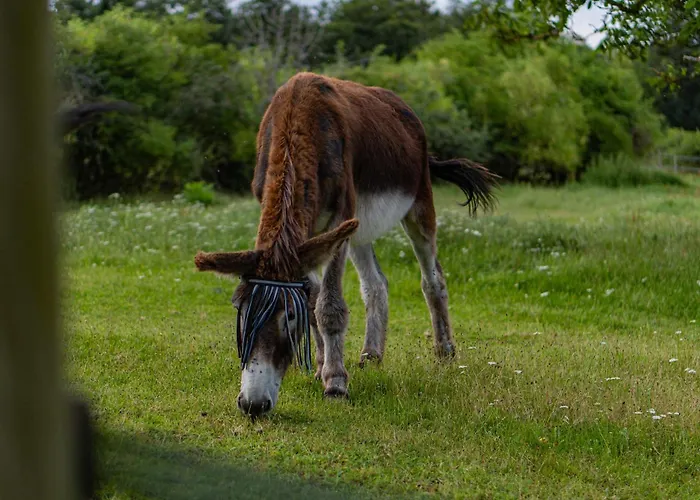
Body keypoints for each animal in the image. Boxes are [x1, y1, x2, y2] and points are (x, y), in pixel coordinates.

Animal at [194, 72, 498, 417]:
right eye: (240, 311)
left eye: (290, 318)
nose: (253, 405)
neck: (297, 121)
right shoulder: (310, 235)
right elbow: (312, 298)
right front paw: (321, 367)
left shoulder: (337, 219)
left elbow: (328, 306)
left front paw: (336, 383)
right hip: (357, 227)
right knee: (376, 283)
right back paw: (371, 354)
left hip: (418, 203)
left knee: (432, 279)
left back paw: (445, 351)